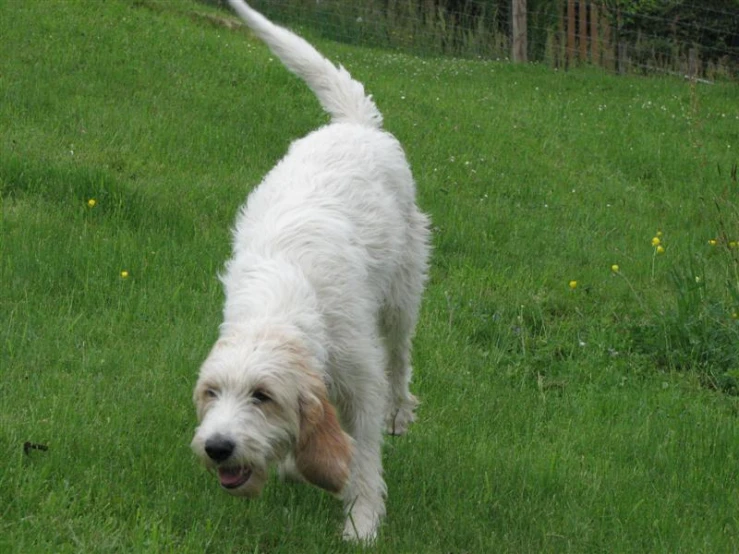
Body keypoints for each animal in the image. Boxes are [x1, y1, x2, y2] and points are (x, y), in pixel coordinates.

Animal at [191, 0, 430, 540]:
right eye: (211, 392)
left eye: (262, 395)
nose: (217, 448)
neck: (283, 303)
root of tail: (356, 124)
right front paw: (295, 466)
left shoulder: (361, 383)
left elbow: (363, 455)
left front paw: (362, 522)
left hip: (403, 294)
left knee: (401, 358)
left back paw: (400, 412)